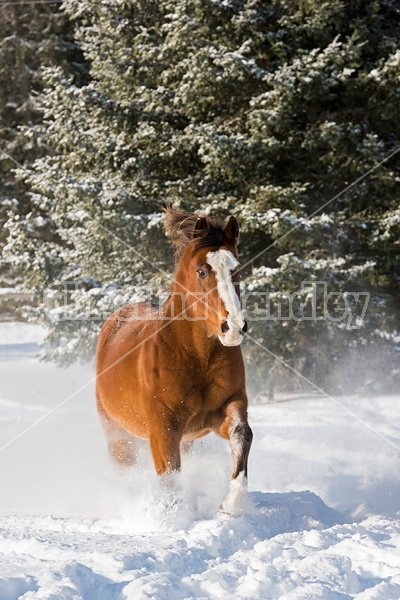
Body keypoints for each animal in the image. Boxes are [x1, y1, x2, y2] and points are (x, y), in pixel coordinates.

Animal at [96, 211, 253, 516]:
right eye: (202, 271)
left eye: (237, 268)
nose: (233, 328)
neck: (196, 358)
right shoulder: (163, 428)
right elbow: (169, 478)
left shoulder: (225, 409)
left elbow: (243, 434)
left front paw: (230, 505)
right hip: (117, 436)